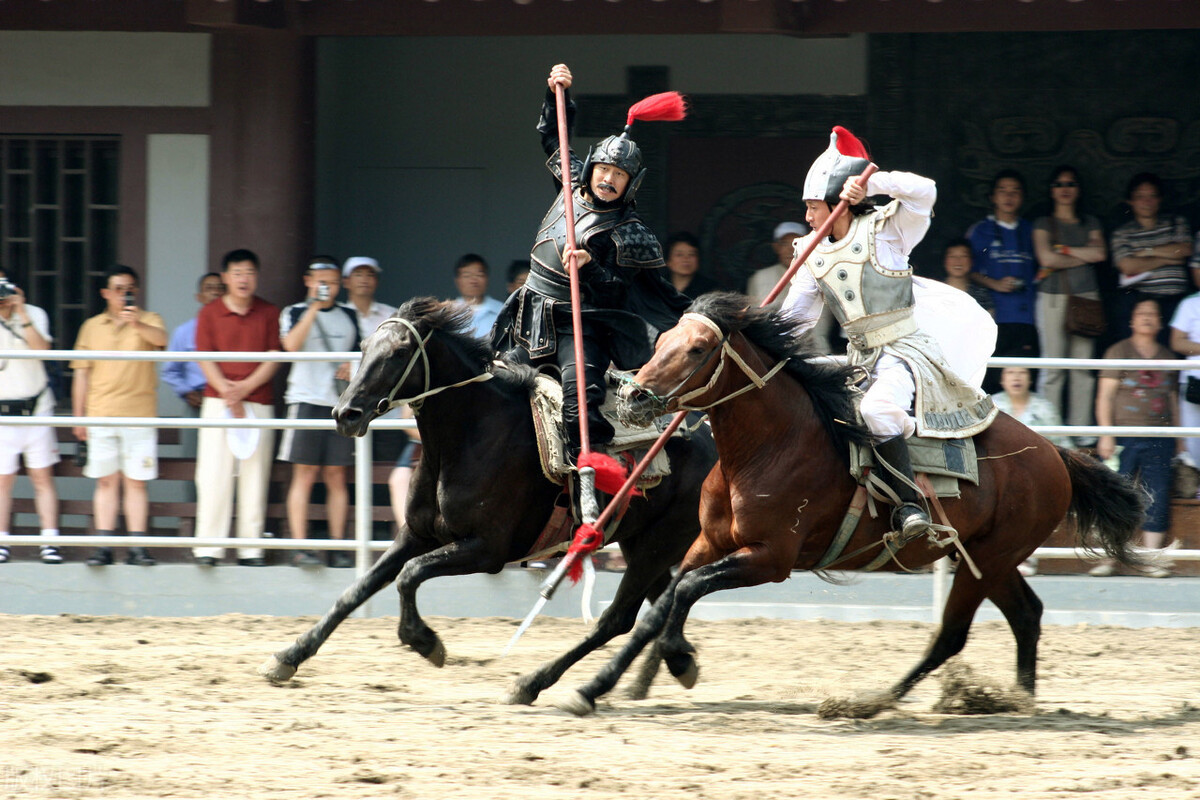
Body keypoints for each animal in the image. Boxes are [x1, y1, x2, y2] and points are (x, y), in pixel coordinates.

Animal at [259, 297, 715, 705]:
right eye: (365, 346)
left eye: (401, 351)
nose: (345, 414)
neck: (470, 434)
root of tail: (710, 436)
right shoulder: (415, 535)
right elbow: (357, 590)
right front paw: (289, 656)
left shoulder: (487, 550)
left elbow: (409, 575)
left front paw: (425, 641)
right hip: (642, 542)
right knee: (660, 605)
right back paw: (672, 666)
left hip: (657, 544)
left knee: (622, 617)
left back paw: (538, 684)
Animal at [559, 293, 1142, 719]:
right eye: (663, 340)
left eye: (698, 349)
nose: (631, 395)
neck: (772, 445)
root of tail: (1054, 453)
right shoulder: (708, 543)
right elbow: (658, 608)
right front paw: (589, 686)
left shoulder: (769, 559)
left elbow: (684, 592)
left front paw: (682, 660)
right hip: (985, 559)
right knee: (1026, 616)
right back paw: (1018, 700)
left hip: (989, 559)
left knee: (952, 635)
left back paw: (871, 702)